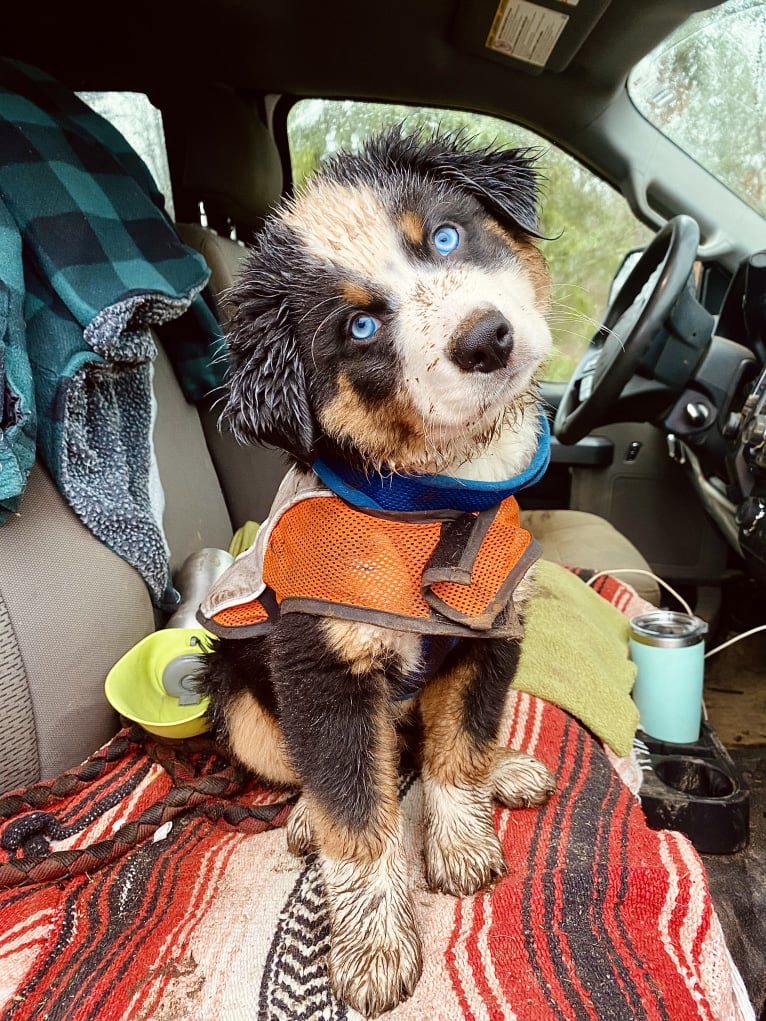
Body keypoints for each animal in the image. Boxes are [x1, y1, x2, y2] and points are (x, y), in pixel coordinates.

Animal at [198, 131, 559, 1016]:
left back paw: (508, 767)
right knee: (318, 777)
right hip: (235, 692)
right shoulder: (322, 668)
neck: (430, 505)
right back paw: (303, 821)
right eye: (360, 324)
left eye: (447, 237)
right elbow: (357, 815)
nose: (486, 338)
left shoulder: (492, 630)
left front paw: (461, 842)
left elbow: (459, 747)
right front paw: (372, 947)